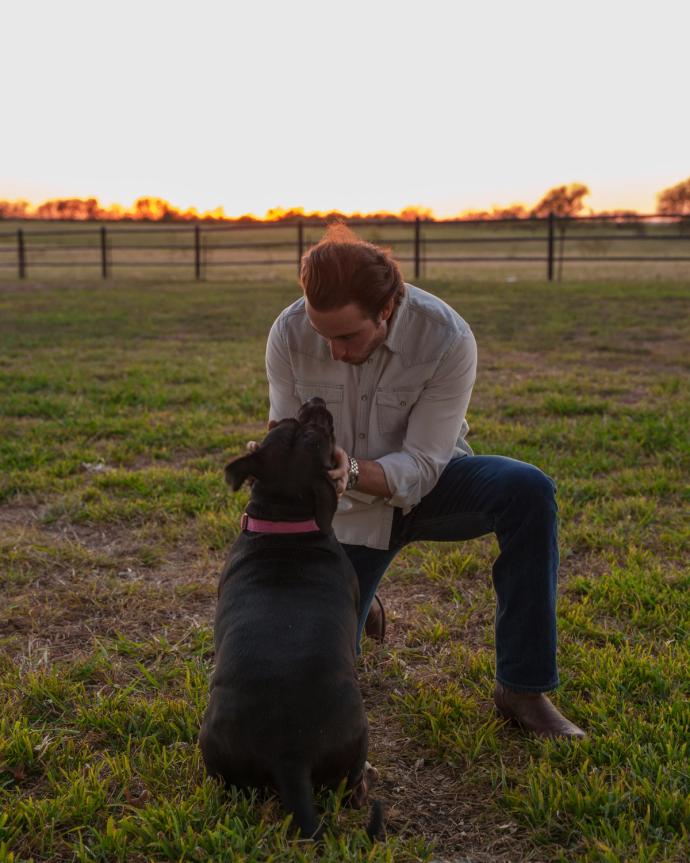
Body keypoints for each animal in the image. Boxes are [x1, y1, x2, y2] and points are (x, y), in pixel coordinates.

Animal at [199, 402, 378, 840]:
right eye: (312, 435)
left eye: (287, 426)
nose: (314, 406)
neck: (283, 521)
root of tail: (289, 754)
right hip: (357, 741)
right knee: (351, 788)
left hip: (215, 749)